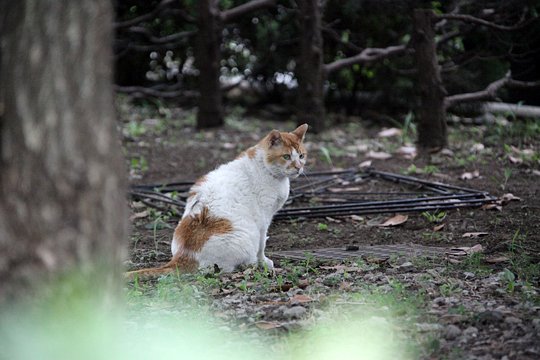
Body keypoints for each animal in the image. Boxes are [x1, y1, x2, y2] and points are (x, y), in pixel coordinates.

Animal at [127, 122, 310, 278]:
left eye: (301, 156)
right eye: (286, 157)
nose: (299, 167)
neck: (267, 170)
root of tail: (183, 256)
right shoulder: (264, 219)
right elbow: (261, 245)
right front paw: (263, 262)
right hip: (245, 237)